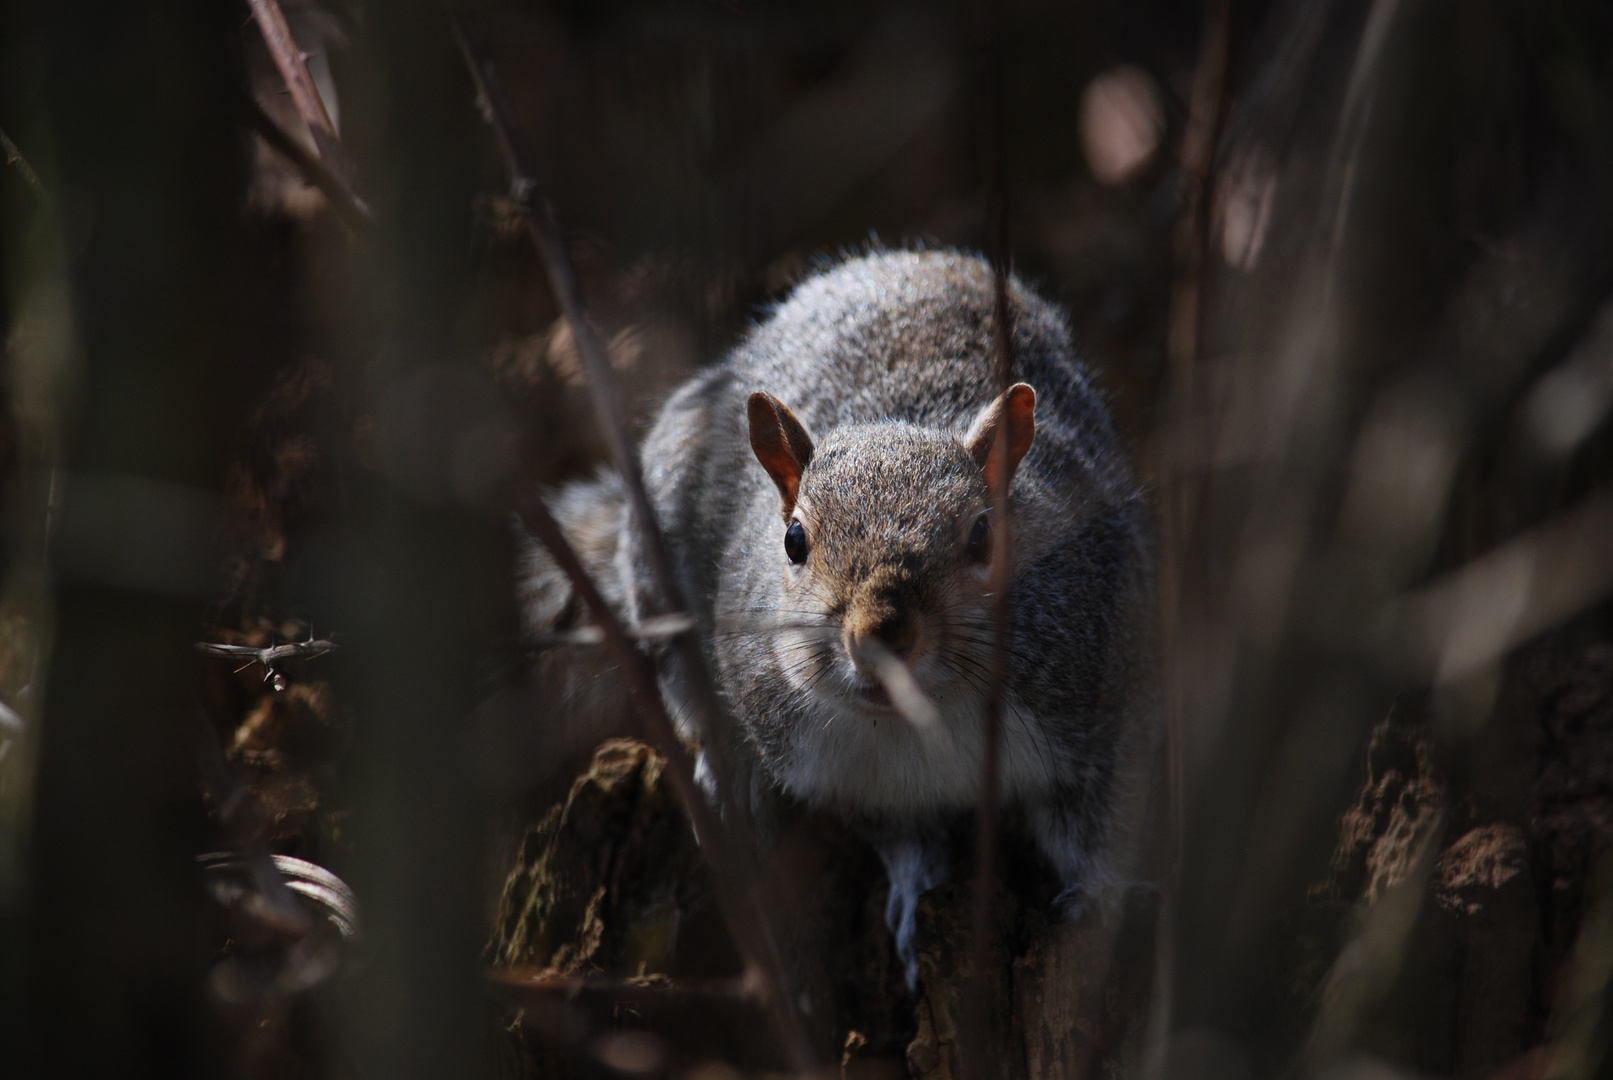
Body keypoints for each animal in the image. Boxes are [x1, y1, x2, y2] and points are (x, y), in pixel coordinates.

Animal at [516, 248, 1161, 992]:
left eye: (984, 536)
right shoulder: (848, 779)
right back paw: (724, 770)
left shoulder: (1109, 685)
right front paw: (913, 896)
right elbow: (904, 840)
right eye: (793, 541)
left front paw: (1105, 902)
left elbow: (1106, 817)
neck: (917, 722)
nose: (881, 636)